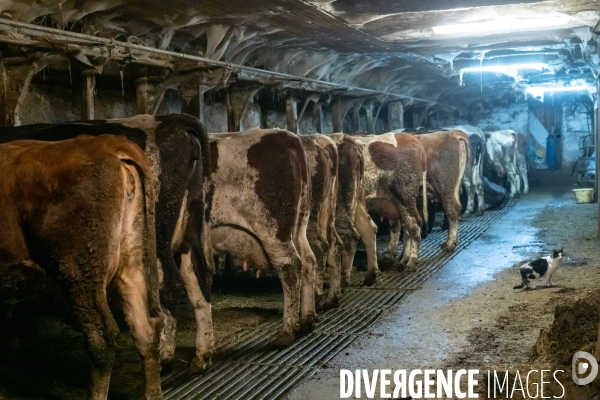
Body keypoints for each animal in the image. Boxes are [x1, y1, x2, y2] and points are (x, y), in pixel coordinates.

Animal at [207, 130, 316, 346]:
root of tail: (286, 136)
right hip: (299, 225)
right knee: (308, 259)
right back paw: (307, 320)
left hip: (272, 230)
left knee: (290, 265)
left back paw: (287, 331)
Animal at [354, 133, 428, 274]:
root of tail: (409, 136)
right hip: (399, 204)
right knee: (404, 227)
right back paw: (400, 259)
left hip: (405, 196)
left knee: (414, 225)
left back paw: (411, 262)